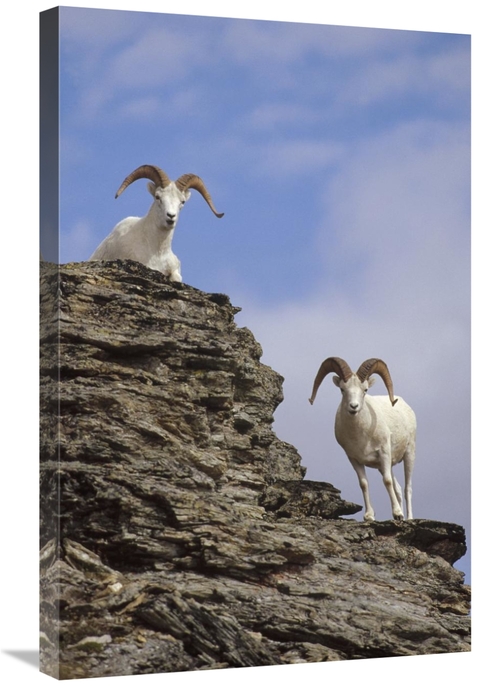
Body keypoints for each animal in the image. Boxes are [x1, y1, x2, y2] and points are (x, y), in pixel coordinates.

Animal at [309, 357, 416, 522]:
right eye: (342, 389)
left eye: (365, 390)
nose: (354, 406)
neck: (362, 436)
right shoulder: (354, 459)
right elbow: (364, 484)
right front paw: (369, 516)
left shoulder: (384, 452)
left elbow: (387, 481)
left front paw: (397, 514)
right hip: (383, 465)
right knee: (398, 488)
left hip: (409, 453)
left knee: (407, 488)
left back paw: (408, 518)